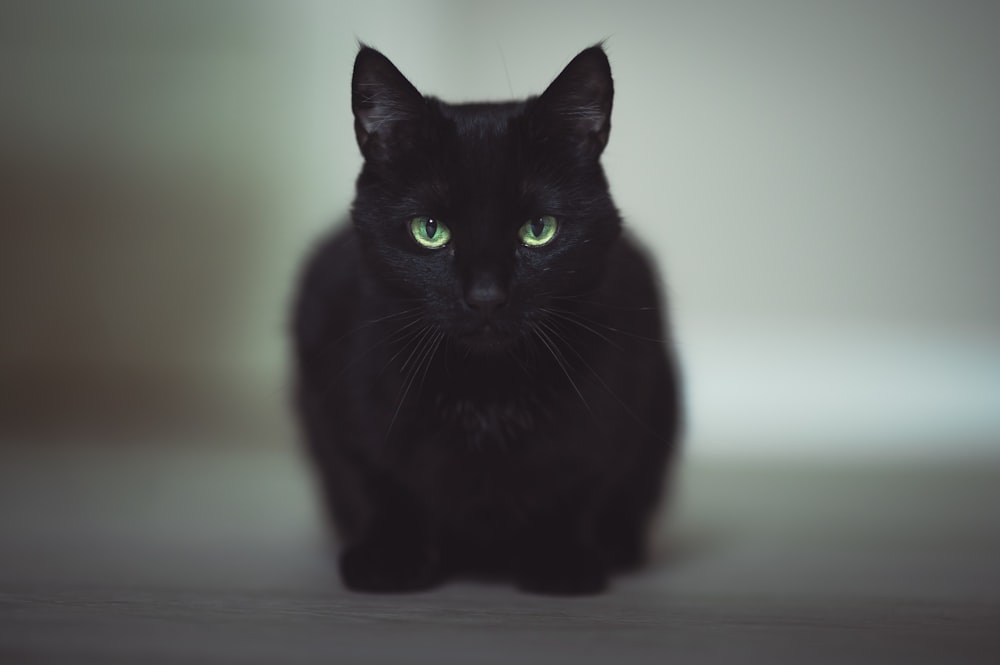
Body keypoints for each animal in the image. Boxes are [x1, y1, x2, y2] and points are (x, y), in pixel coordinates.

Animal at [290, 42, 680, 592]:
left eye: (539, 229)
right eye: (430, 230)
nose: (486, 296)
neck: (486, 392)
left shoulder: (623, 397)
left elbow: (579, 480)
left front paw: (559, 557)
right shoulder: (331, 384)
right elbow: (378, 480)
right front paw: (390, 556)